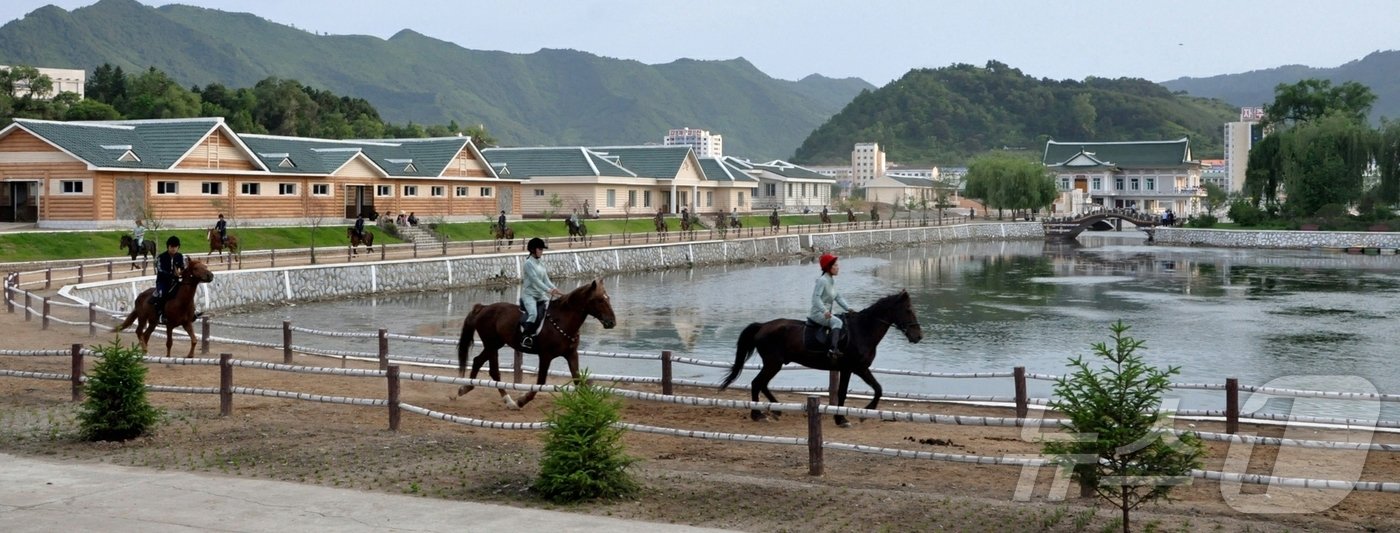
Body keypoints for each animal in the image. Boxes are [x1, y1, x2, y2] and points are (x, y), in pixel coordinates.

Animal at [456, 278, 616, 405]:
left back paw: (466, 388)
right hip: (492, 345)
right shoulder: (545, 356)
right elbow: (541, 381)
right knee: (493, 371)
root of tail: (483, 308)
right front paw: (522, 400)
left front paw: (588, 405)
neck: (562, 321)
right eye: (600, 300)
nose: (612, 322)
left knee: (478, 361)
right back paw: (509, 401)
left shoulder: (571, 354)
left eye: (608, 298)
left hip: (495, 345)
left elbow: (578, 379)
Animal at [722, 288, 929, 425]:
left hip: (774, 364)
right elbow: (844, 393)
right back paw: (757, 414)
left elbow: (878, 389)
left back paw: (776, 409)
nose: (918, 336)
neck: (862, 330)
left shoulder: (860, 368)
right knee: (757, 383)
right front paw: (842, 417)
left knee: (763, 384)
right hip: (773, 363)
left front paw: (864, 412)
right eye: (908, 310)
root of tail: (763, 325)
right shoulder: (851, 368)